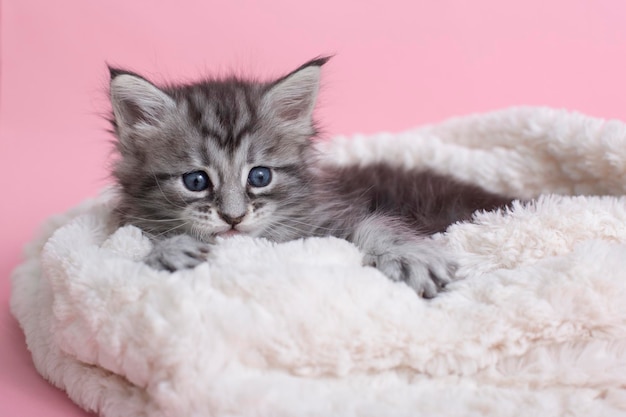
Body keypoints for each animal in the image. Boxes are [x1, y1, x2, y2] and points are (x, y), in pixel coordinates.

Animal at [109, 57, 510, 296]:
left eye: (259, 176)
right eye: (196, 181)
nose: (233, 217)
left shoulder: (332, 217)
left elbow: (374, 225)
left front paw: (407, 254)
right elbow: (136, 242)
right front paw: (170, 250)